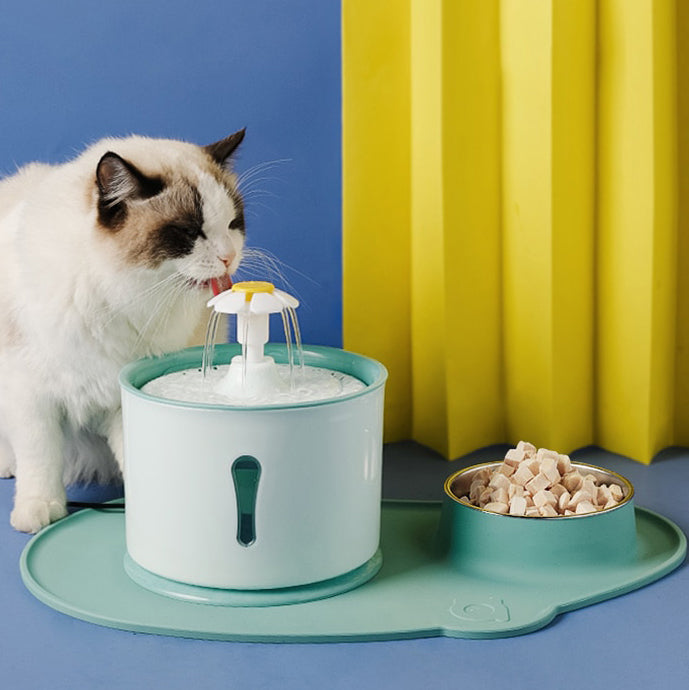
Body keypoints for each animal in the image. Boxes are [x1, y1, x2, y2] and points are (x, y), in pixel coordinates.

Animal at [0, 129, 247, 528]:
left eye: (233, 224)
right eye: (189, 232)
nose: (230, 257)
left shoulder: (121, 399)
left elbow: (136, 460)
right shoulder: (31, 395)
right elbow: (40, 459)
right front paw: (37, 510)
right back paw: (8, 467)